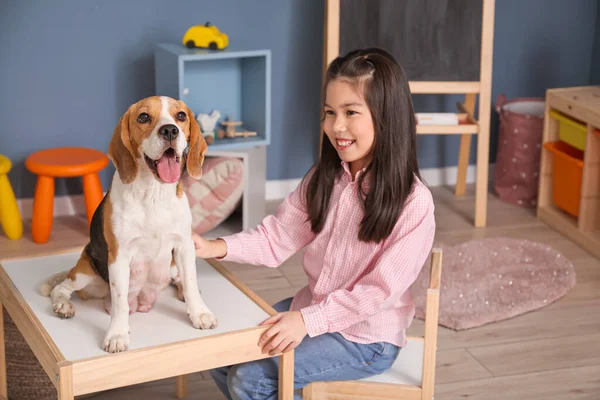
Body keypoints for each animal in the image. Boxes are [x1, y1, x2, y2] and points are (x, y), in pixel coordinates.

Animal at [40, 96, 218, 354]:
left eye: (181, 116)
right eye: (143, 117)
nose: (170, 130)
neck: (153, 193)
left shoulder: (184, 247)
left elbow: (191, 282)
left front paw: (199, 313)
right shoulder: (119, 256)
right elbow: (120, 301)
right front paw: (117, 335)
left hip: (173, 265)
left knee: (179, 280)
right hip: (85, 273)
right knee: (61, 289)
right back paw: (63, 306)